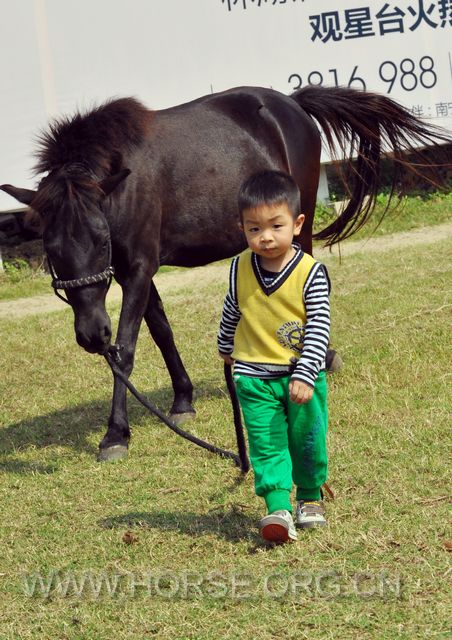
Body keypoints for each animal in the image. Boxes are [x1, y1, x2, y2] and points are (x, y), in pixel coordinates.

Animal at [1, 86, 448, 460]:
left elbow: (126, 350)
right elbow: (162, 331)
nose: (92, 334)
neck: (122, 184)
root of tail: (291, 103)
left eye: (101, 240)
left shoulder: (138, 269)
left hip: (299, 222)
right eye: (50, 248)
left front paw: (116, 434)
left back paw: (323, 357)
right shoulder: (139, 269)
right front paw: (182, 401)